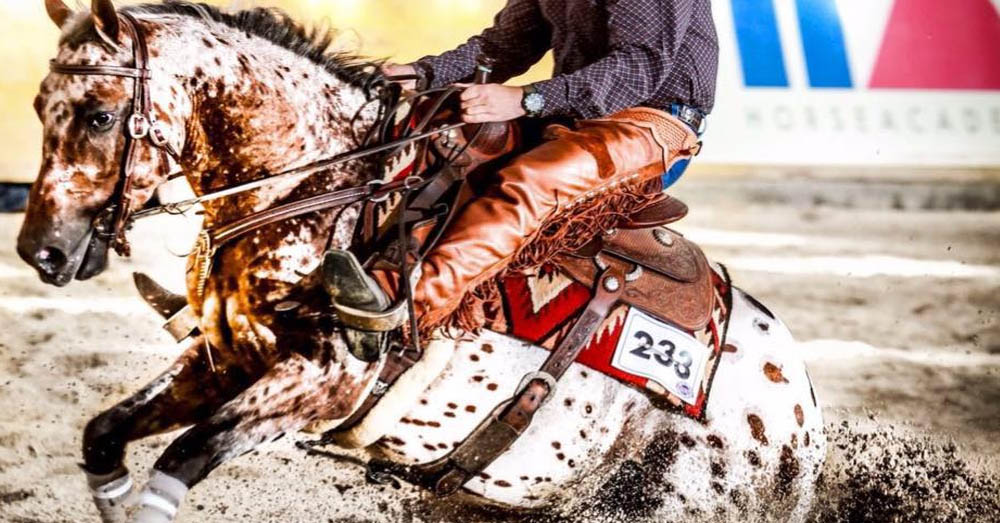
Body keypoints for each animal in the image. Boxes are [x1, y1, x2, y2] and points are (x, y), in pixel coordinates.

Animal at [17, 2, 828, 520]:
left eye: (99, 114)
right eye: (37, 109)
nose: (41, 251)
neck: (327, 183)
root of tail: (800, 422)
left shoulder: (322, 381)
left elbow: (183, 458)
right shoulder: (224, 359)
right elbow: (104, 435)